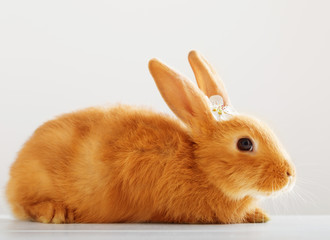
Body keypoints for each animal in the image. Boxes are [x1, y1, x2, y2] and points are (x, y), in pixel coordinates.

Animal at [5, 49, 296, 224]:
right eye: (245, 143)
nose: (289, 175)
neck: (199, 166)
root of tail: (13, 178)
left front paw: (260, 216)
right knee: (25, 205)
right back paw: (54, 212)